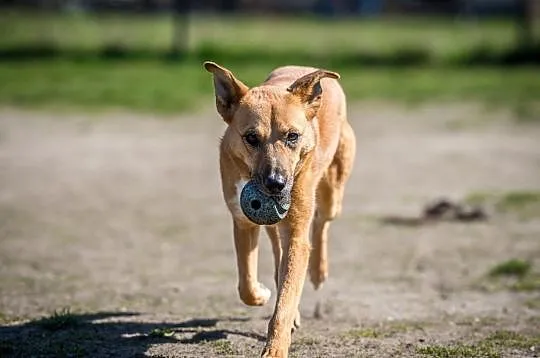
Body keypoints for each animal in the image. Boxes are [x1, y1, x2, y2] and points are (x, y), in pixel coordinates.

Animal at [202, 62, 354, 358]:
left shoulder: (295, 232)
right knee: (278, 252)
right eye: (251, 138)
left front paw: (275, 349)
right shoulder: (243, 222)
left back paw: (318, 271)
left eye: (292, 136)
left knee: (321, 223)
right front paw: (261, 294)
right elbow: (246, 284)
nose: (276, 183)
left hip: (332, 191)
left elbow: (286, 297)